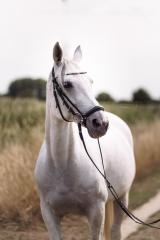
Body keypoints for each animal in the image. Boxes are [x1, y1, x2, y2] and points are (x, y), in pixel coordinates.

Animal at [34, 42, 136, 239]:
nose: (101, 123)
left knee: (116, 231)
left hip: (122, 197)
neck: (62, 164)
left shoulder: (96, 211)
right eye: (67, 84)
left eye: (90, 82)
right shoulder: (49, 214)